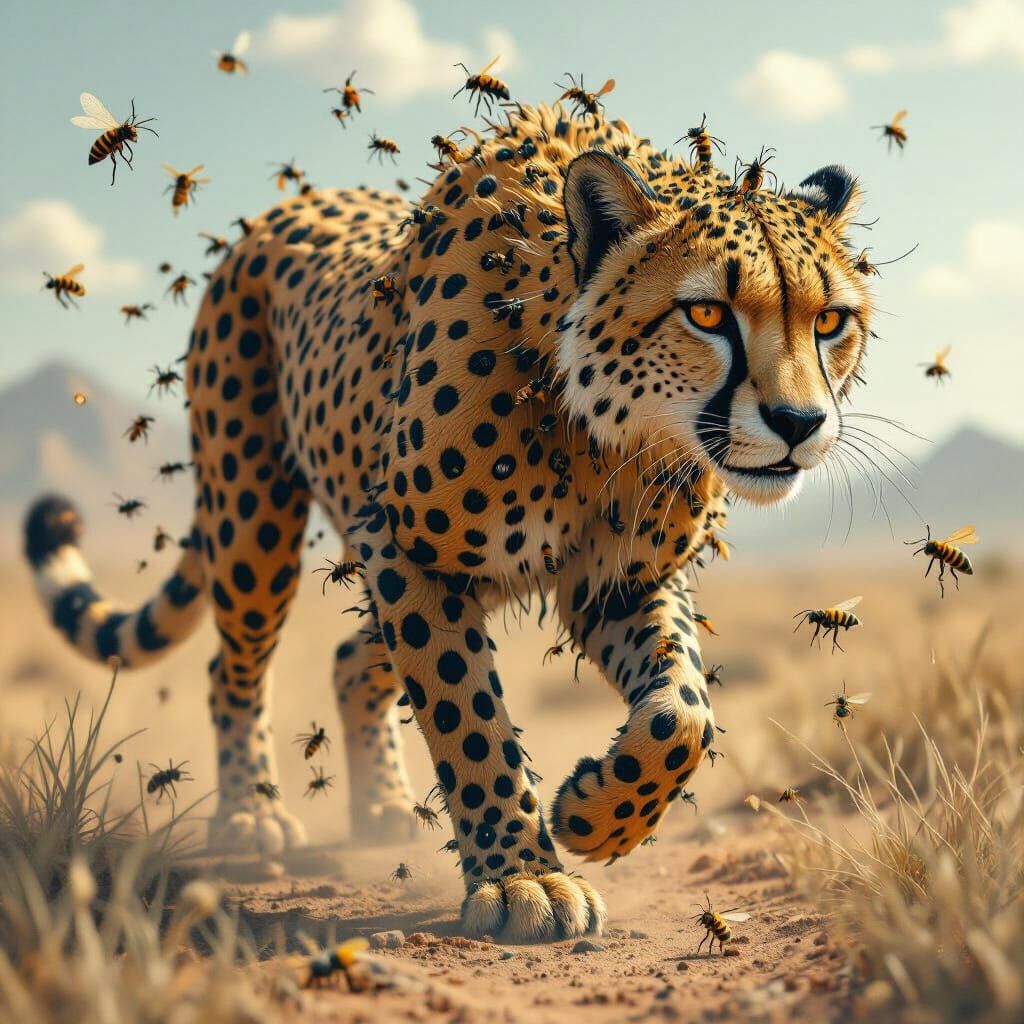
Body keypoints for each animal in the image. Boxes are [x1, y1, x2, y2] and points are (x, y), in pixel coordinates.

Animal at [24, 100, 873, 942]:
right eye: (706, 313)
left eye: (831, 320)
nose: (800, 422)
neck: (600, 424)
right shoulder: (407, 546)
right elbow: (466, 713)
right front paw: (524, 877)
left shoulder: (620, 582)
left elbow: (684, 712)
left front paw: (597, 816)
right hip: (253, 519)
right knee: (233, 664)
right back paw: (249, 814)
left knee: (348, 656)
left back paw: (380, 810)